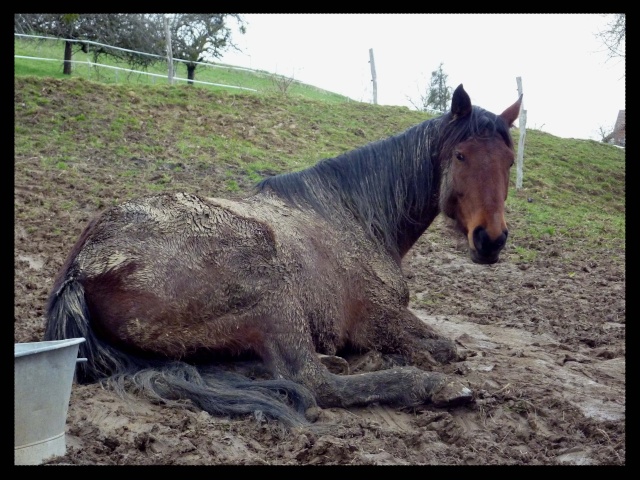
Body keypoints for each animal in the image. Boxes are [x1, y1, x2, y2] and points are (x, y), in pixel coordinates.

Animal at [47, 85, 524, 428]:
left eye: (509, 161)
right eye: (460, 155)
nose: (491, 240)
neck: (355, 214)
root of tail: (82, 265)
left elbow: (444, 341)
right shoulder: (378, 319)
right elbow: (436, 348)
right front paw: (431, 367)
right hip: (273, 292)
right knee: (313, 381)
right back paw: (429, 385)